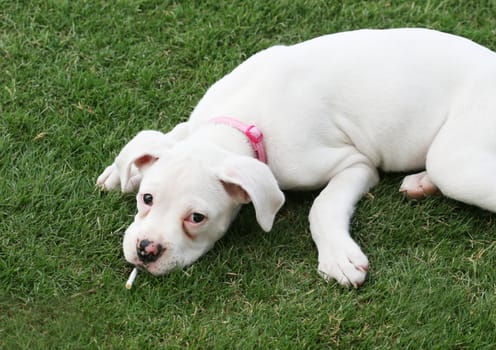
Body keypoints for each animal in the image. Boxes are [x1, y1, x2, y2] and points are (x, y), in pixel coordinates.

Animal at [97, 28, 496, 288]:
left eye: (197, 218)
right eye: (147, 198)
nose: (146, 251)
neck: (236, 125)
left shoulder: (355, 164)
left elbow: (323, 206)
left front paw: (338, 256)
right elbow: (168, 135)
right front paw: (120, 171)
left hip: (454, 160)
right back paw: (421, 182)